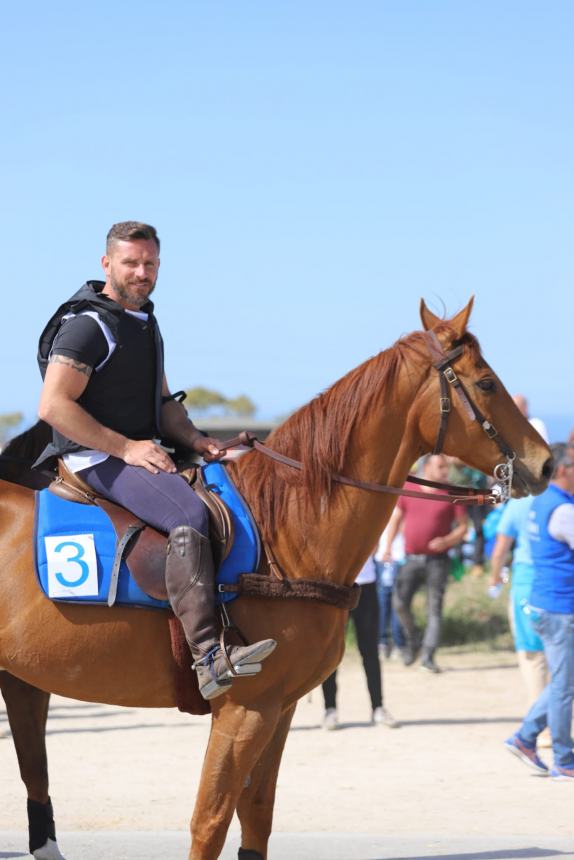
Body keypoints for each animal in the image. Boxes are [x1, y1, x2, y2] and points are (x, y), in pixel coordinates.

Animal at [0, 298, 552, 856]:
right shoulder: (245, 710)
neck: (283, 534)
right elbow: (211, 821)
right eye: (486, 383)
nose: (547, 464)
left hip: (21, 681)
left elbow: (257, 815)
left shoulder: (279, 708)